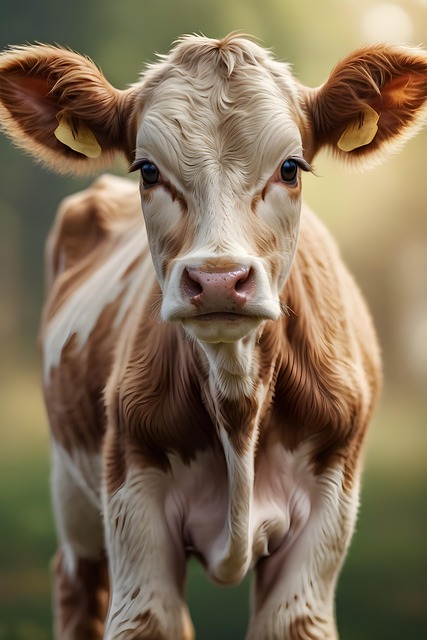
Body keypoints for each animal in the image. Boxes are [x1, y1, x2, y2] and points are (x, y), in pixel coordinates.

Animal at [0, 34, 426, 640]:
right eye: (147, 170)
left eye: (290, 167)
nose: (219, 279)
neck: (237, 405)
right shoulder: (132, 502)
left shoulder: (327, 516)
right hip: (72, 492)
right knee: (77, 583)